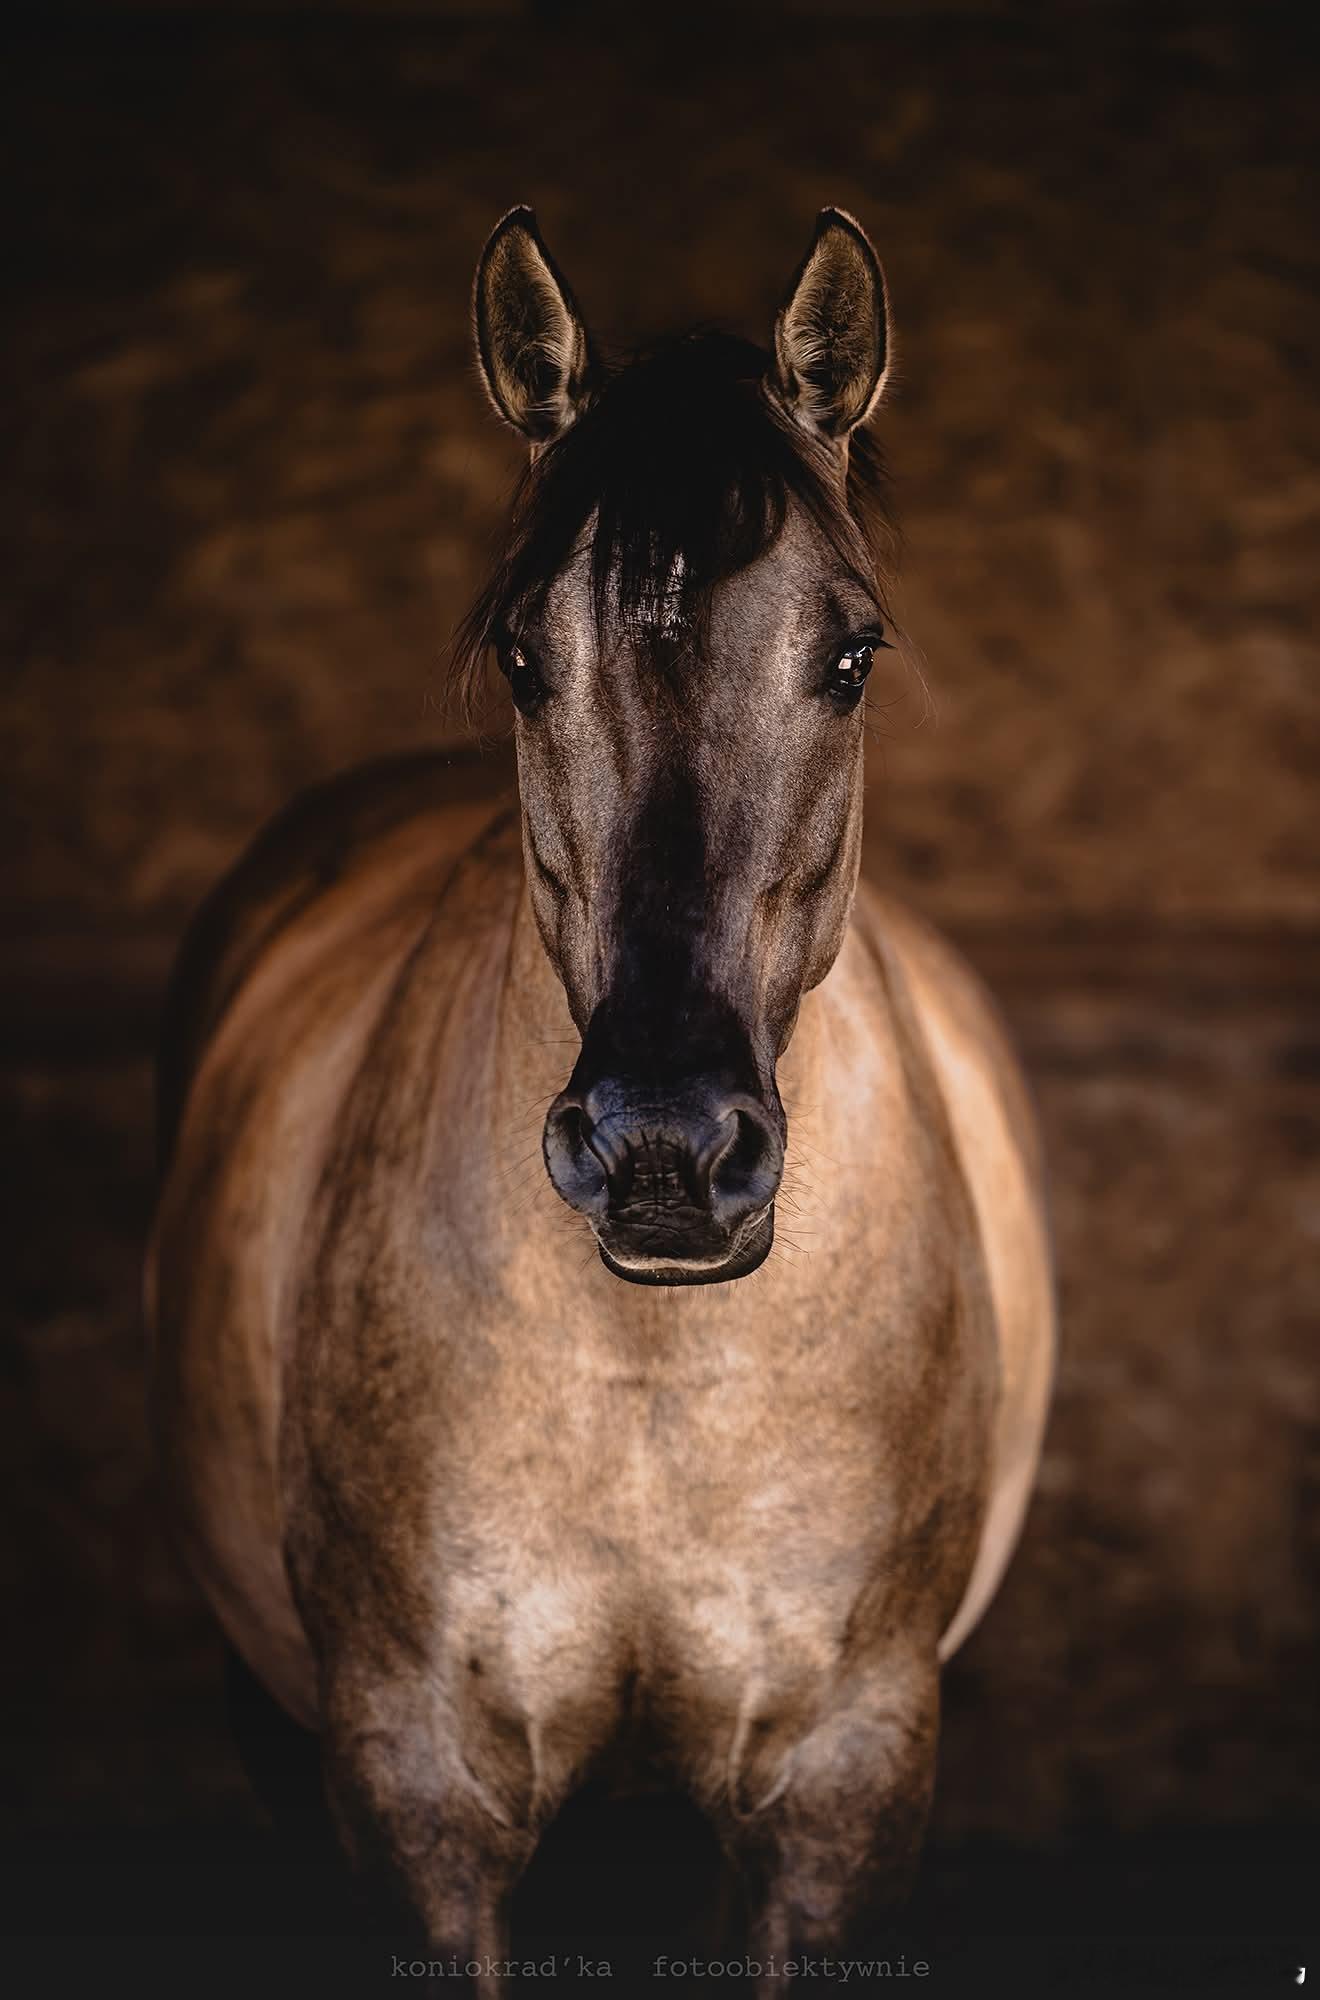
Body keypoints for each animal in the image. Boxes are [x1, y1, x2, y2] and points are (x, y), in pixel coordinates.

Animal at [145, 205, 1054, 1992]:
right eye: (521, 653)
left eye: (853, 653)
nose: (665, 1152)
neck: (651, 1383)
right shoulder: (414, 1786)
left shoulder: (845, 1788)